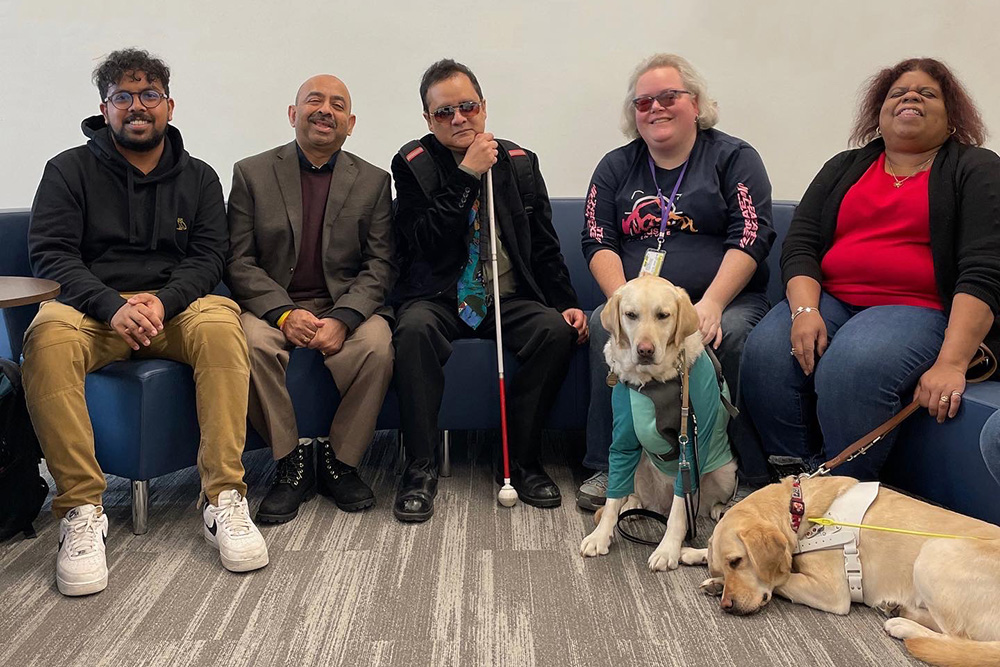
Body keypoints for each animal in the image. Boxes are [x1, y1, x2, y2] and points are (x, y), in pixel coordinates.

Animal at [584, 274, 740, 572]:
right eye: (631, 315)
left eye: (663, 315)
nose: (645, 350)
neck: (653, 383)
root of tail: (660, 505)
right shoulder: (622, 442)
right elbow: (611, 499)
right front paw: (600, 536)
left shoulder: (688, 448)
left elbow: (680, 511)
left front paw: (668, 549)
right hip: (639, 464)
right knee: (633, 493)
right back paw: (630, 506)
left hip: (725, 471)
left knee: (701, 503)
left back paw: (720, 509)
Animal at [700, 474, 1000, 667]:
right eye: (725, 566)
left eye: (737, 561)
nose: (727, 605)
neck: (798, 509)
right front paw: (706, 568)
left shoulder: (830, 591)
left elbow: (782, 580)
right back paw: (898, 609)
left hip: (935, 553)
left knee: (957, 639)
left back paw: (904, 626)